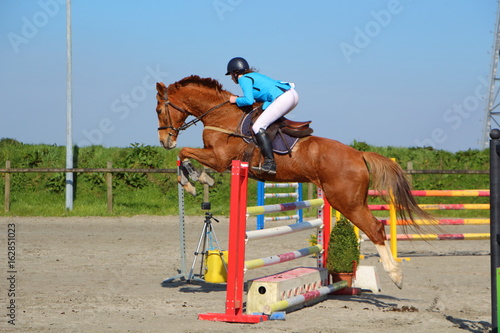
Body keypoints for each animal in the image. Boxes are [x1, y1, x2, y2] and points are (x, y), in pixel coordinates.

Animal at [154, 76, 432, 288]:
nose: (165, 141)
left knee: (375, 228)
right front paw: (196, 179)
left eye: (158, 110)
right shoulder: (217, 157)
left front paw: (194, 180)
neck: (221, 115)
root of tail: (358, 154)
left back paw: (396, 275)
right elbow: (185, 156)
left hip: (346, 202)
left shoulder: (220, 159)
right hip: (351, 200)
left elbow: (185, 154)